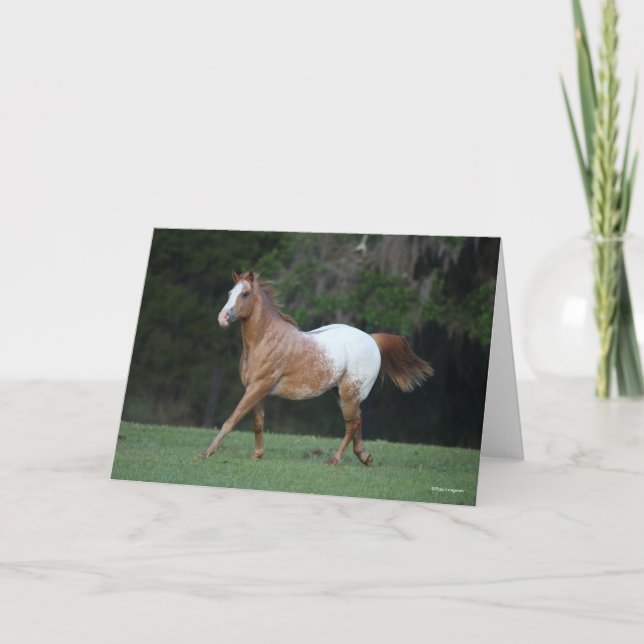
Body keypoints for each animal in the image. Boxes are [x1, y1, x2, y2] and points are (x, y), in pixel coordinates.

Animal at [200, 270, 434, 466]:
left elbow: (231, 420)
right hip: (341, 394)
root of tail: (371, 339)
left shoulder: (258, 387)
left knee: (351, 424)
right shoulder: (256, 390)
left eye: (245, 293)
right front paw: (257, 455)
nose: (222, 318)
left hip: (349, 393)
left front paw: (206, 453)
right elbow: (257, 423)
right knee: (357, 420)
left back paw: (334, 460)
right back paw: (364, 457)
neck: (265, 341)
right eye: (230, 292)